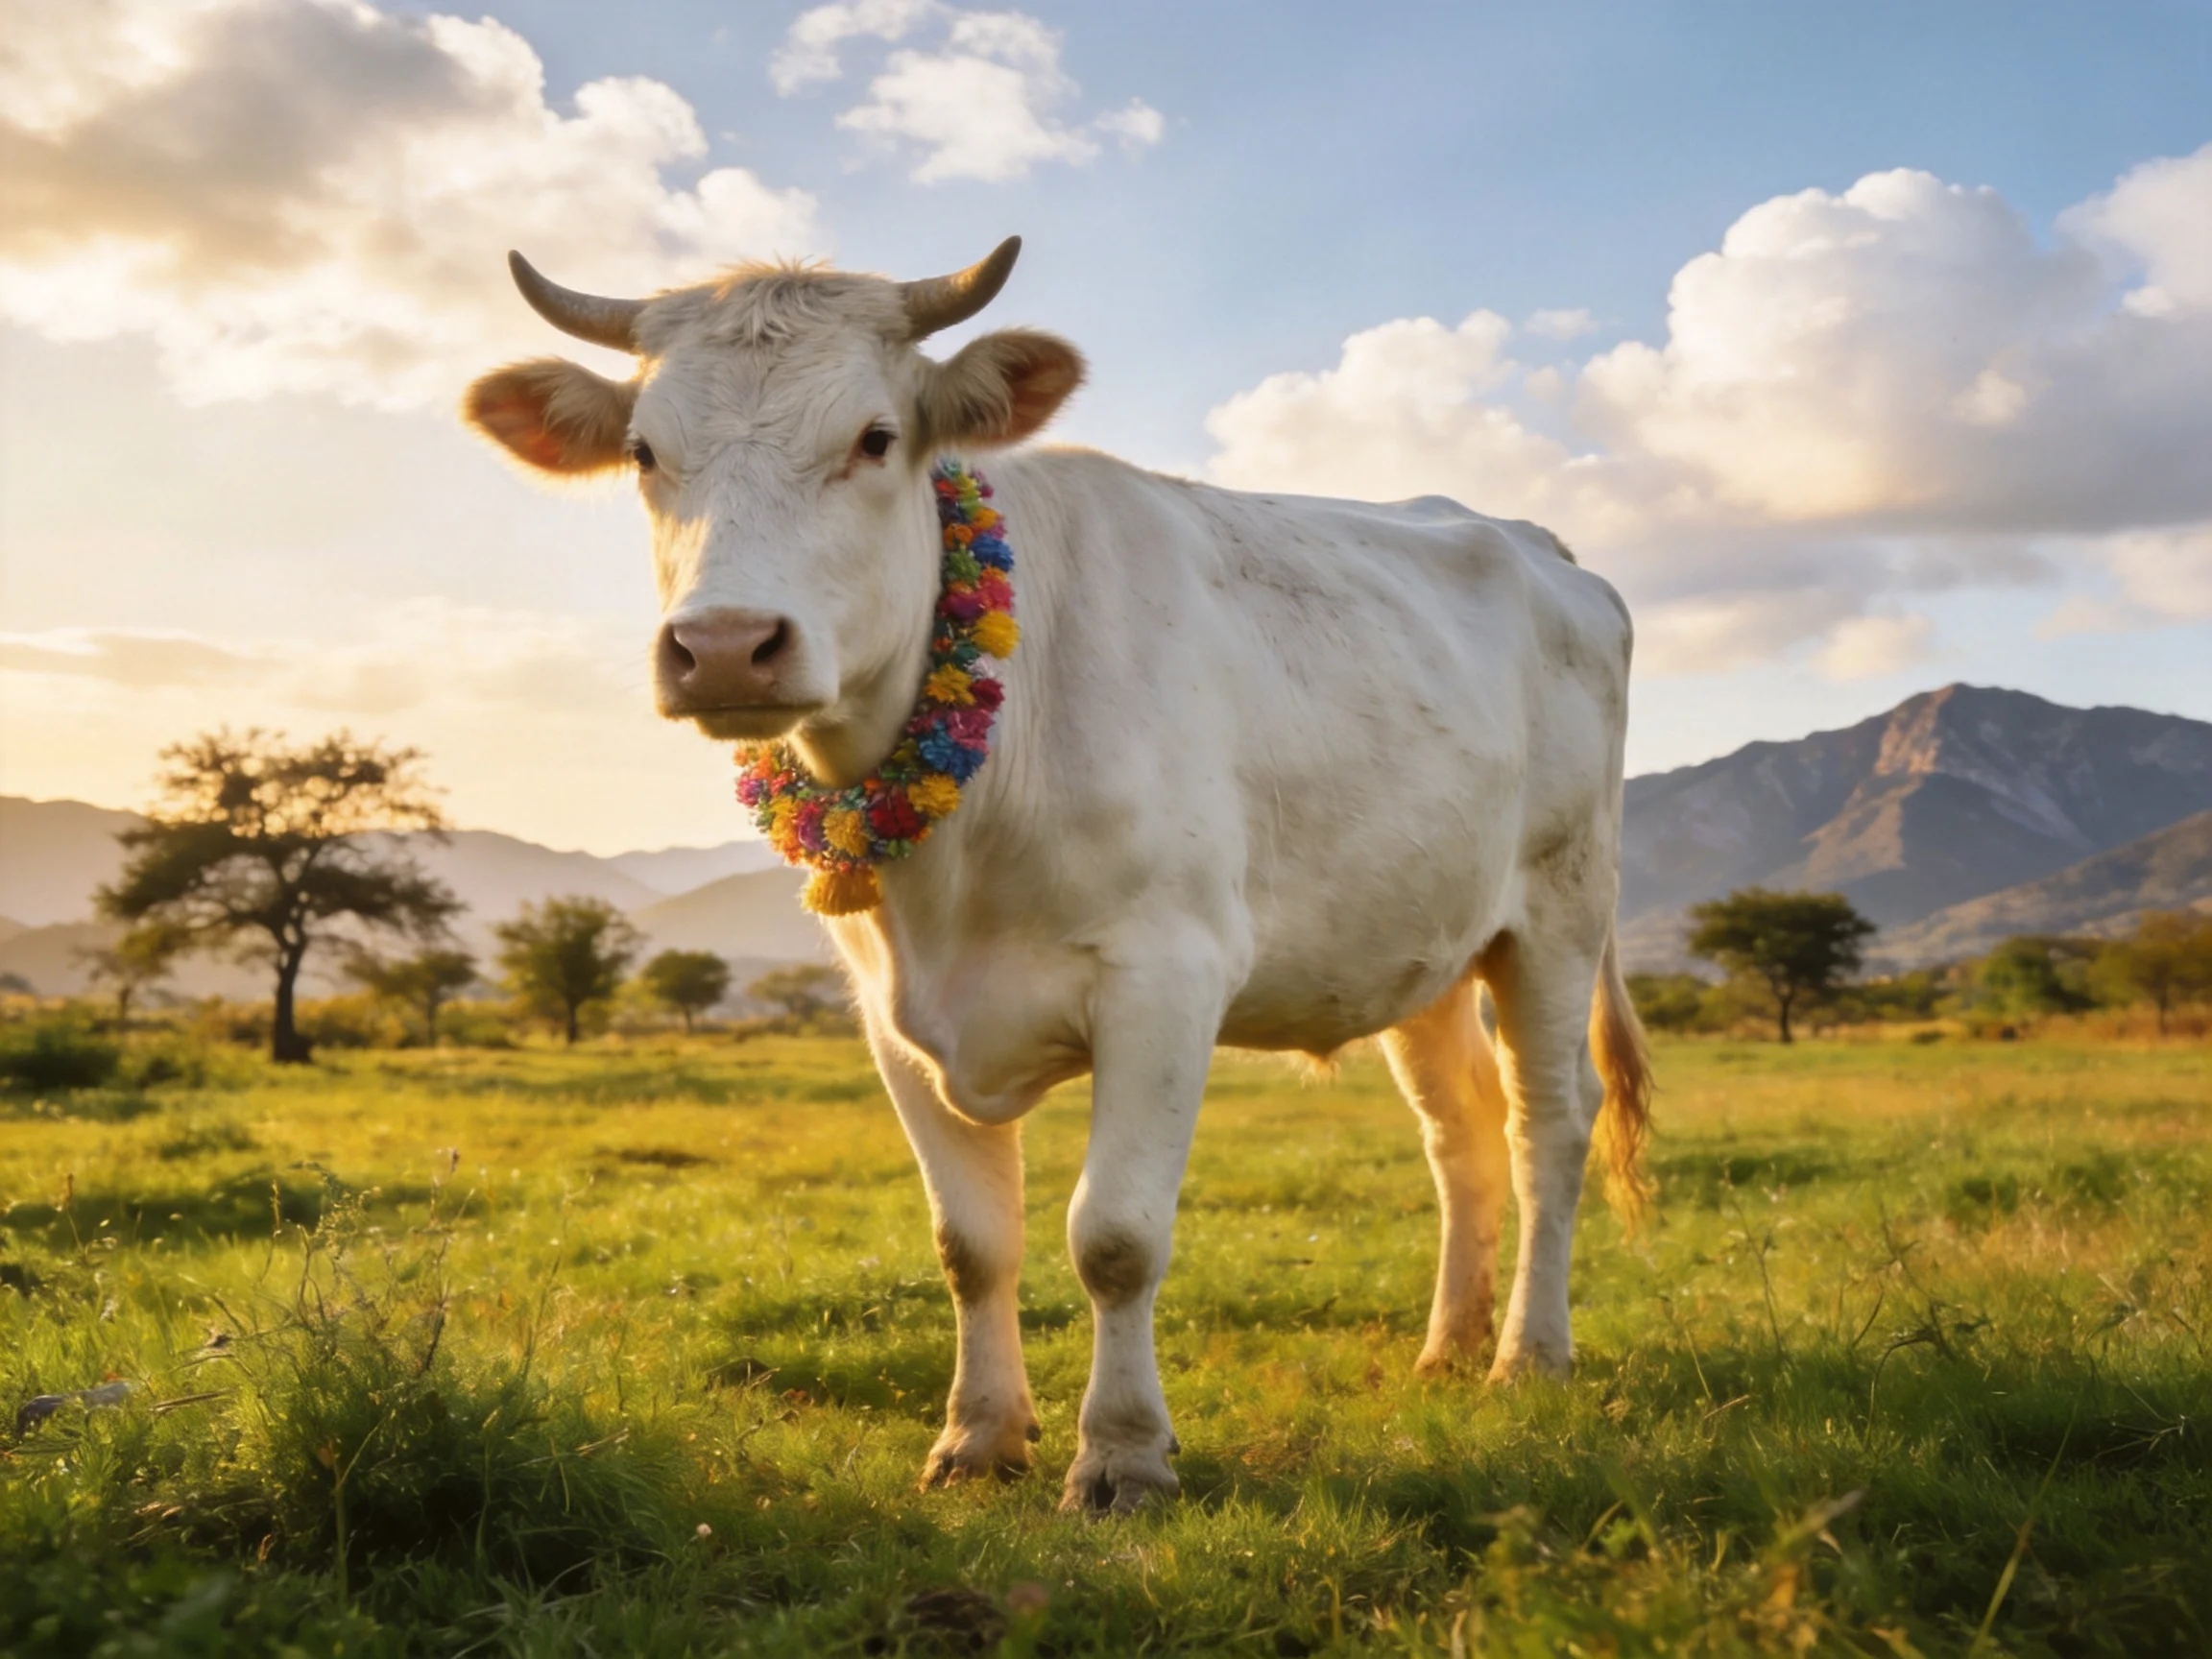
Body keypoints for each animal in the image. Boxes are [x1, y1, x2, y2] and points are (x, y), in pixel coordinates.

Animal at [464, 238, 1653, 1514]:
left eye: (876, 437)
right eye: (644, 451)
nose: (727, 645)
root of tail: (1534, 544)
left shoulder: (1168, 979)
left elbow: (1115, 1237)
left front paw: (1122, 1456)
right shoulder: (889, 1017)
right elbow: (972, 1244)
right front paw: (979, 1437)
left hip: (1559, 911)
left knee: (1548, 1128)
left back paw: (1528, 1358)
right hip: (1421, 942)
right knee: (1460, 1129)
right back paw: (1447, 1348)